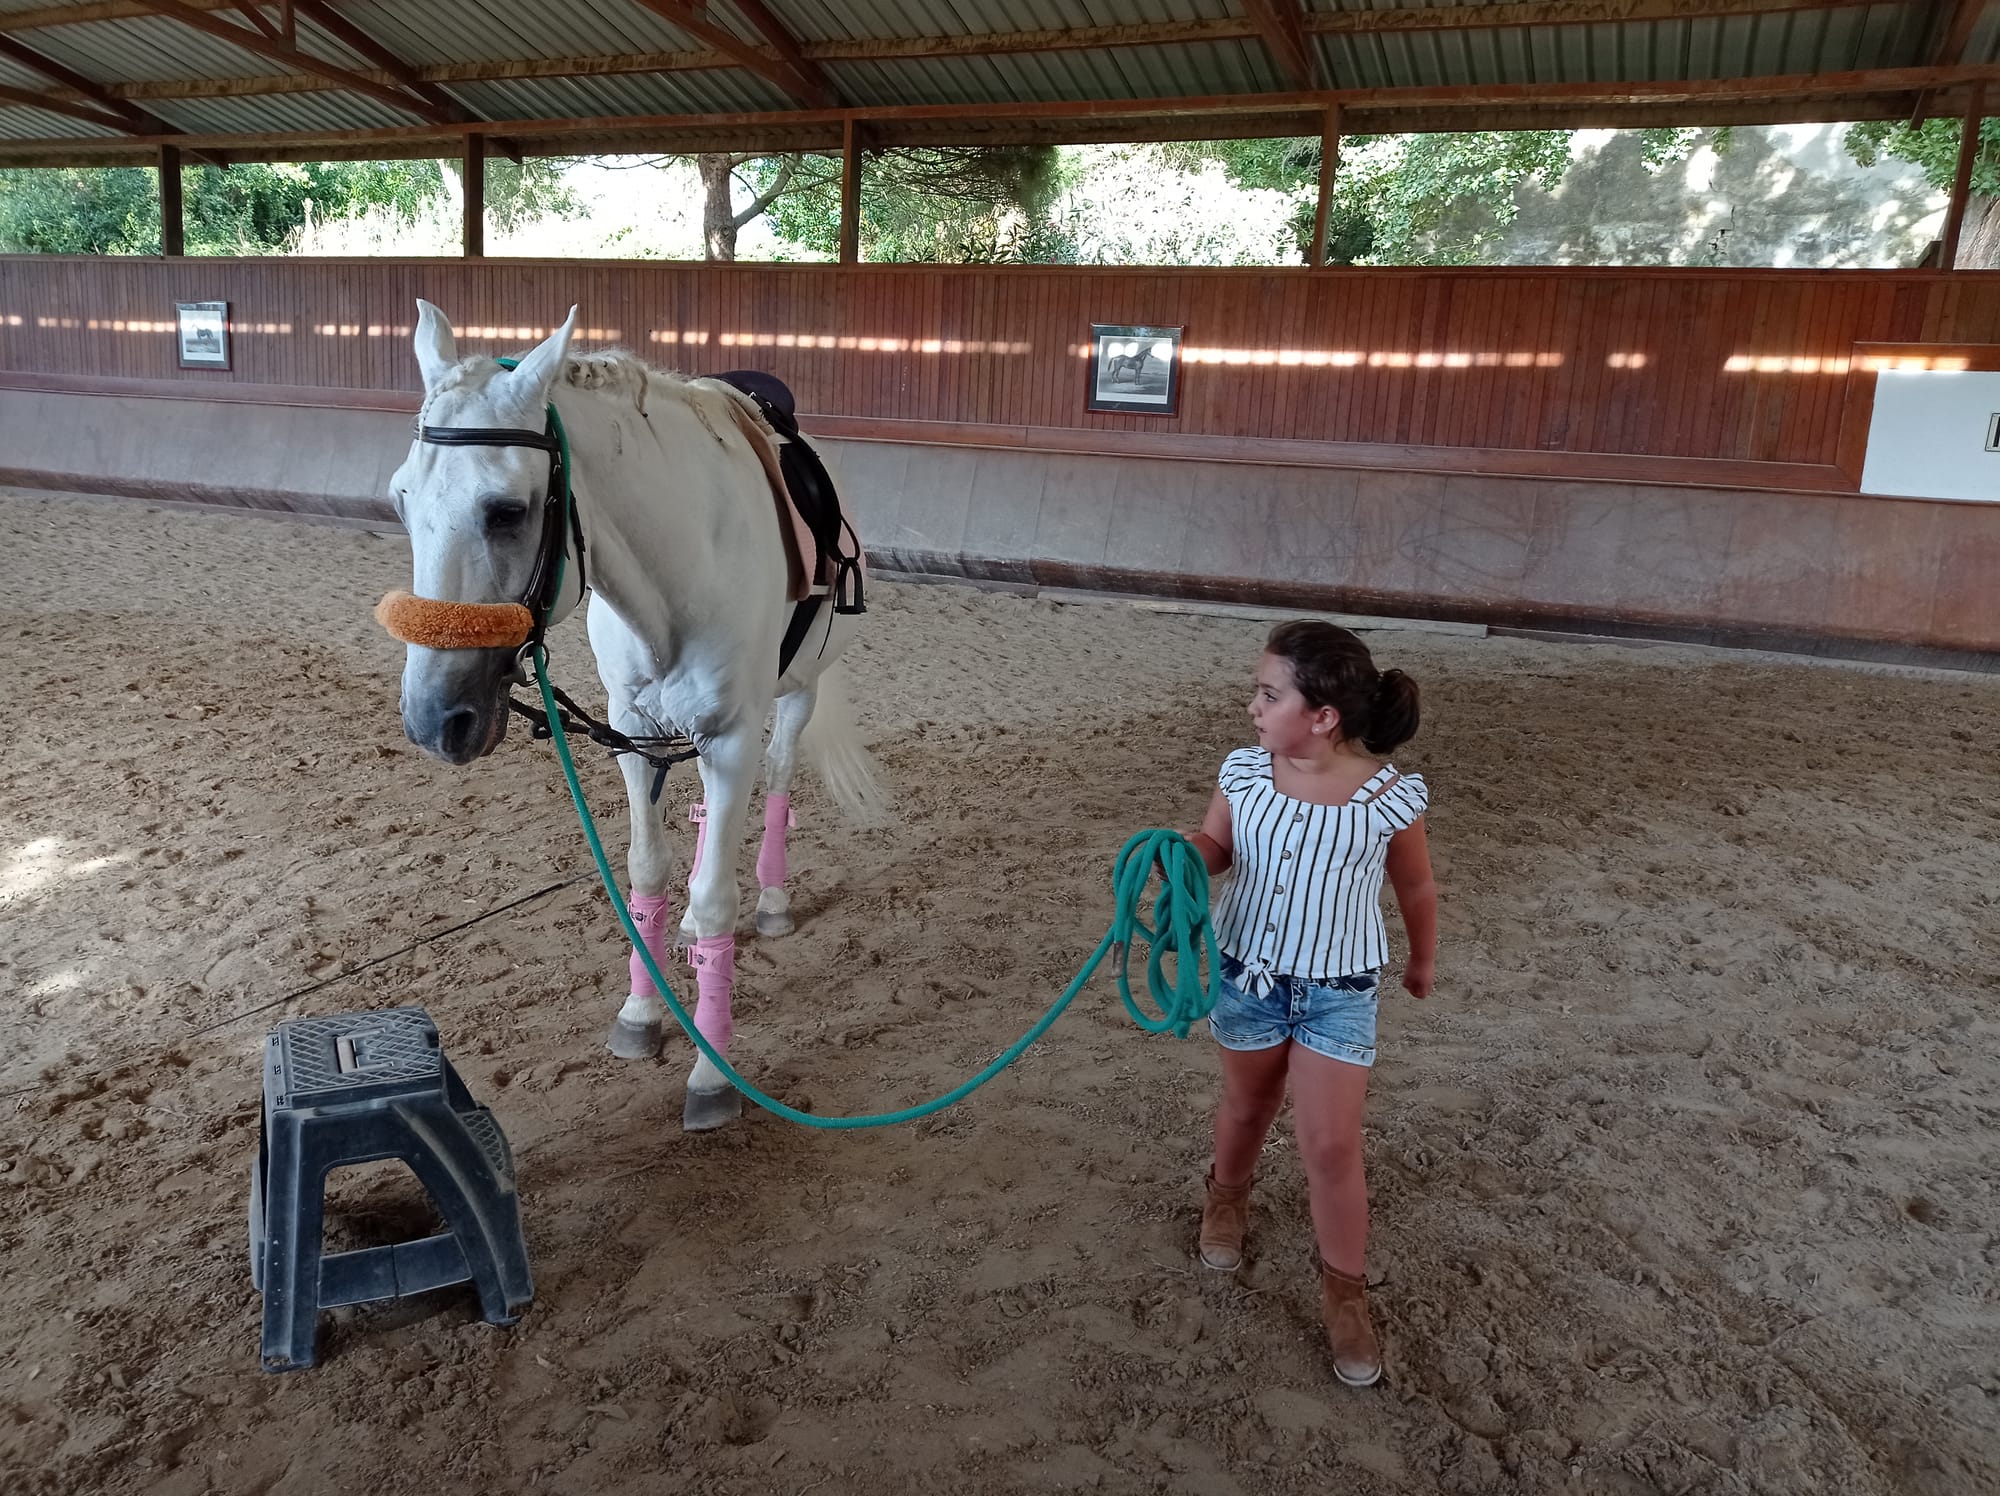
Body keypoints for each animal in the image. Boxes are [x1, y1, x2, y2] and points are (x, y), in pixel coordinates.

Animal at [379, 301, 882, 1131]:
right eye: (401, 500)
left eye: (507, 511)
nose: (432, 719)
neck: (679, 569)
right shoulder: (635, 737)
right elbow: (647, 877)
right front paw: (643, 1017)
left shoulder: (732, 738)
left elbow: (716, 895)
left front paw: (712, 1076)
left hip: (797, 694)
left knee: (779, 780)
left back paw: (774, 901)